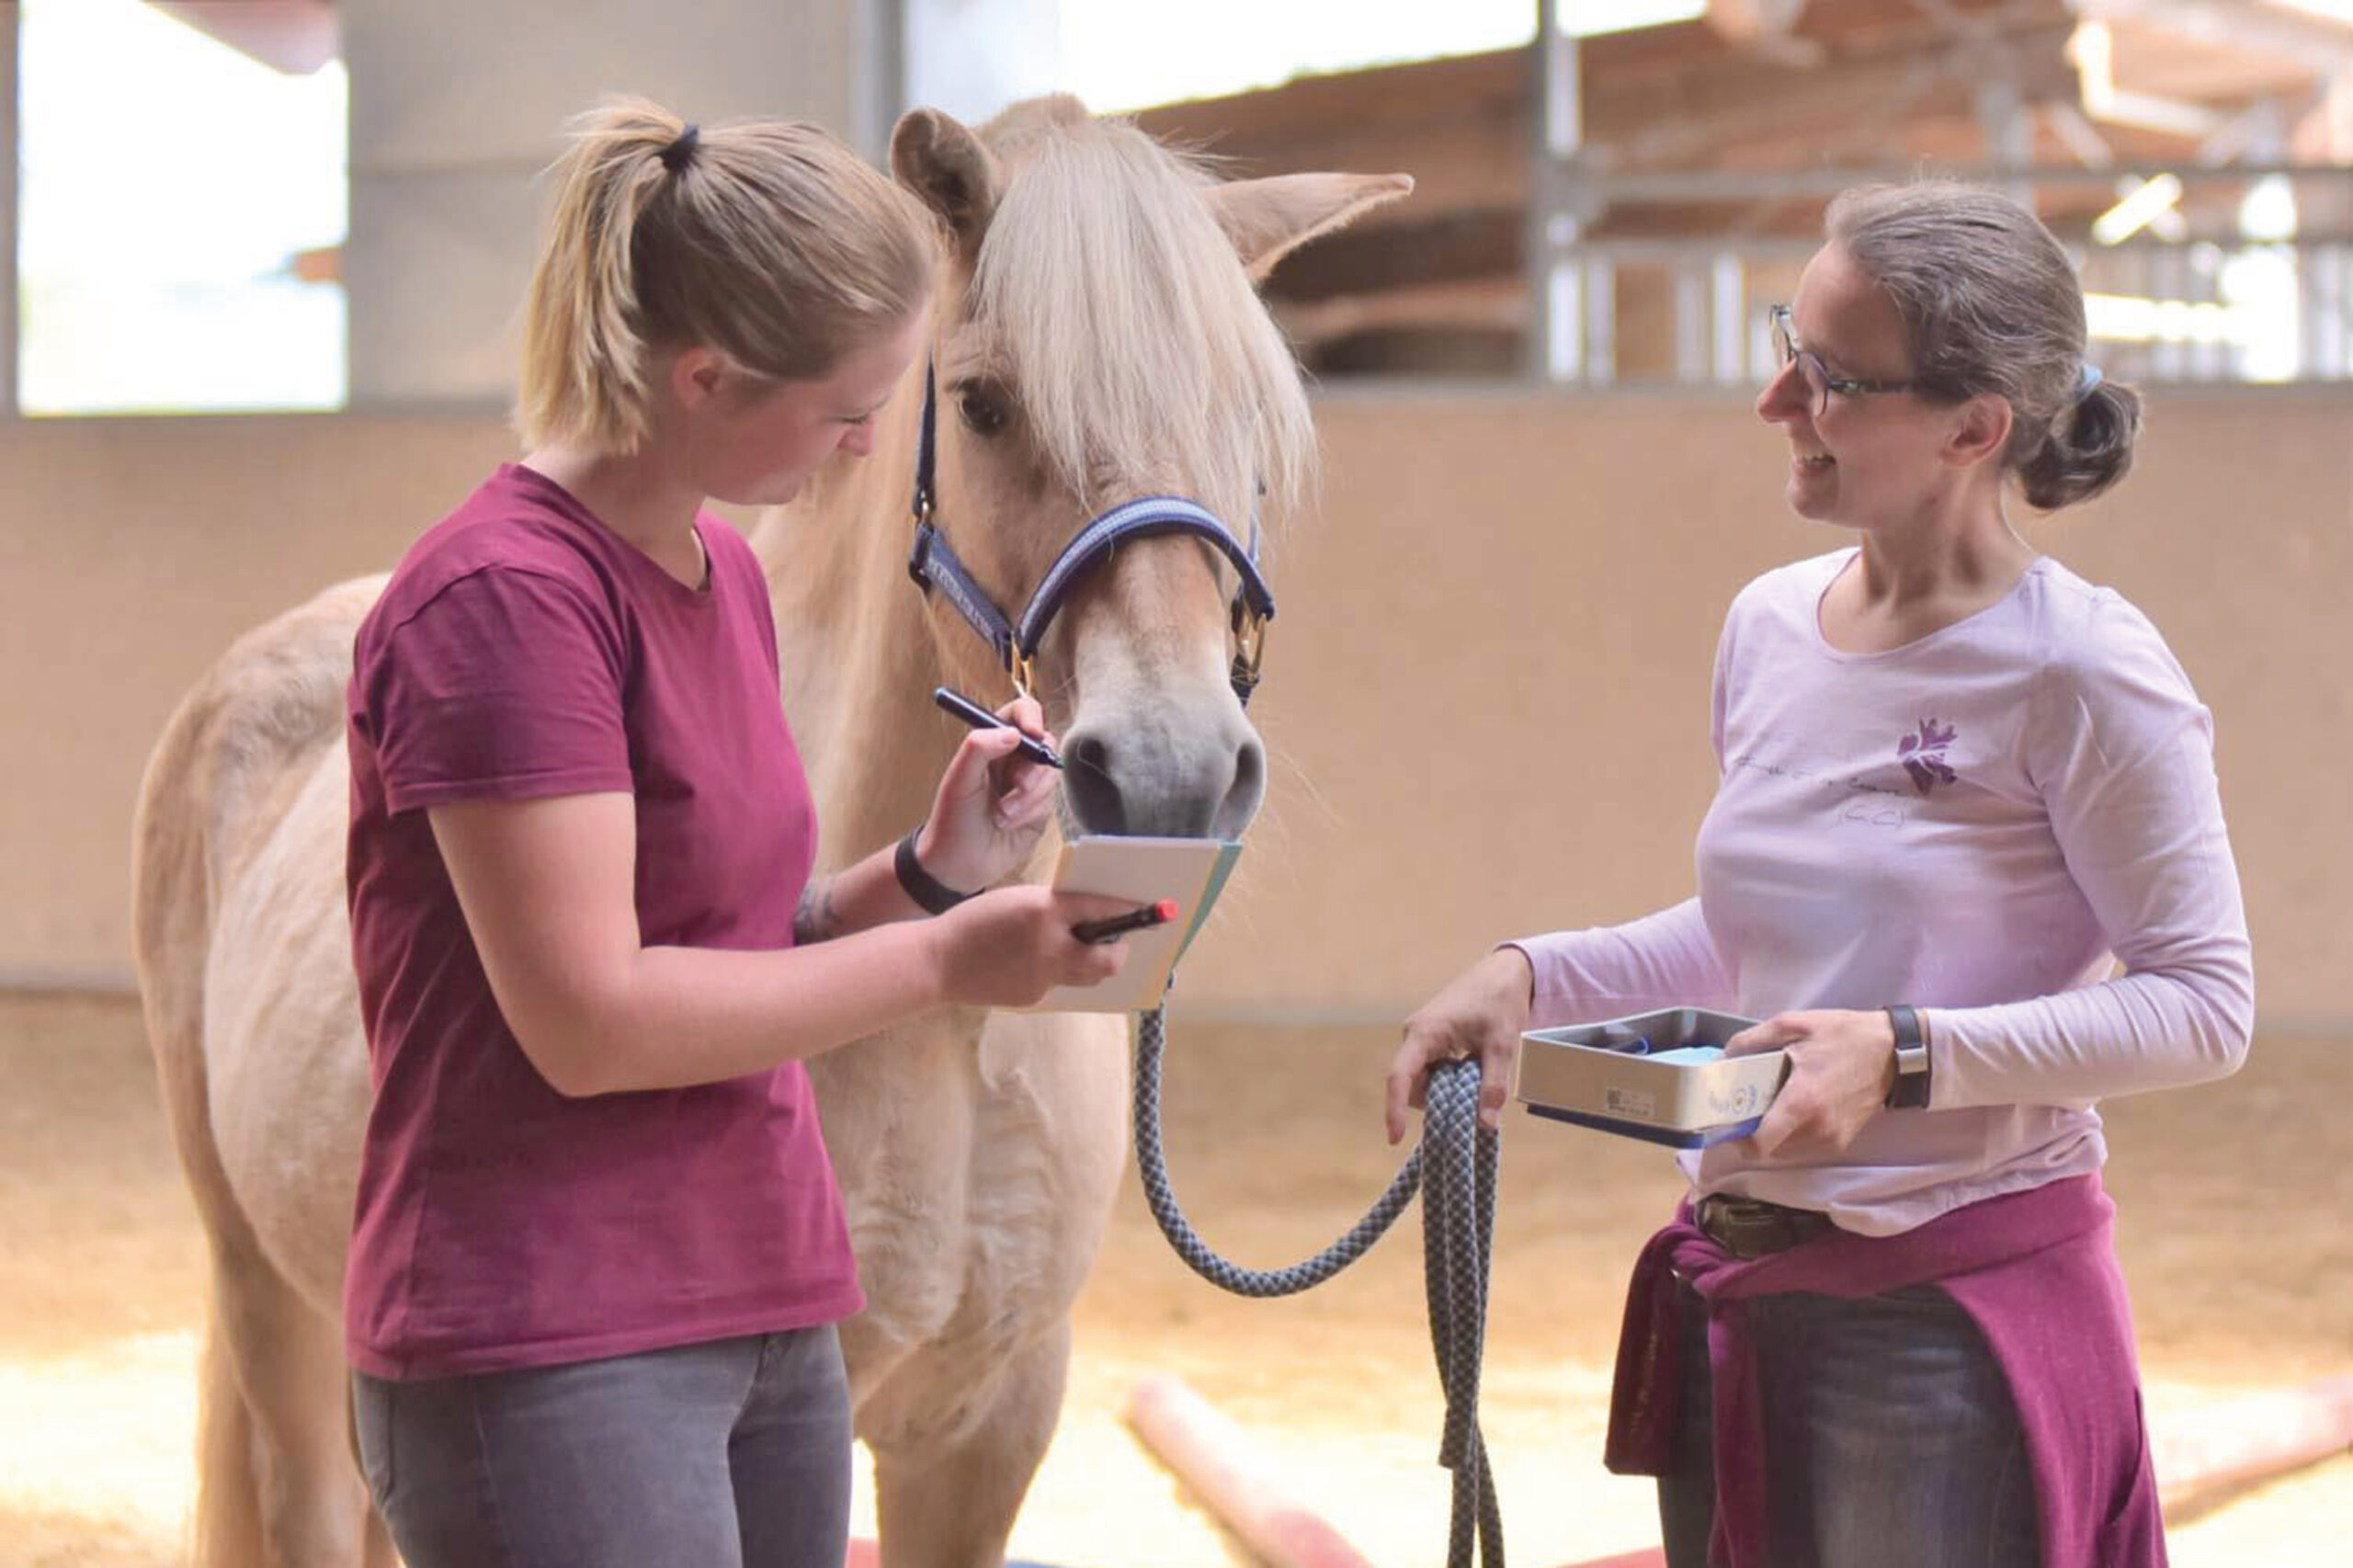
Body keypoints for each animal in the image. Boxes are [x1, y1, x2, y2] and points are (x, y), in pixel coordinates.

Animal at [129, 100, 1402, 1562]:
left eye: (1252, 426)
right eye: (984, 401)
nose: (1170, 774)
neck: (948, 1050)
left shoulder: (989, 1424)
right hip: (265, 1302)